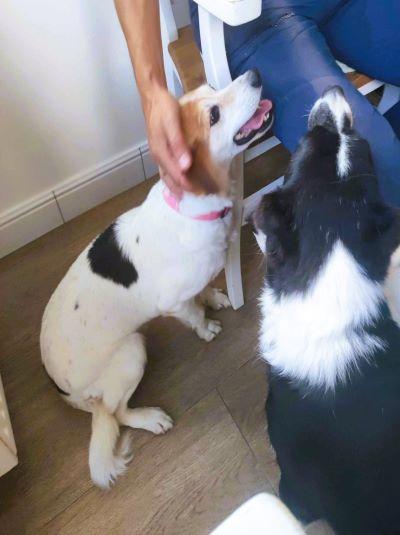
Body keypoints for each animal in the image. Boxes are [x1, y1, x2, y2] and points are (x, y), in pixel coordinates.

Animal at [40, 69, 273, 489]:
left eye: (210, 89)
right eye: (213, 114)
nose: (254, 74)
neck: (193, 209)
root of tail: (66, 391)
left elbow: (202, 293)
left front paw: (214, 297)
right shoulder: (173, 303)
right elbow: (193, 315)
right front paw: (207, 328)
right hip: (132, 351)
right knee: (117, 413)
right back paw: (150, 418)